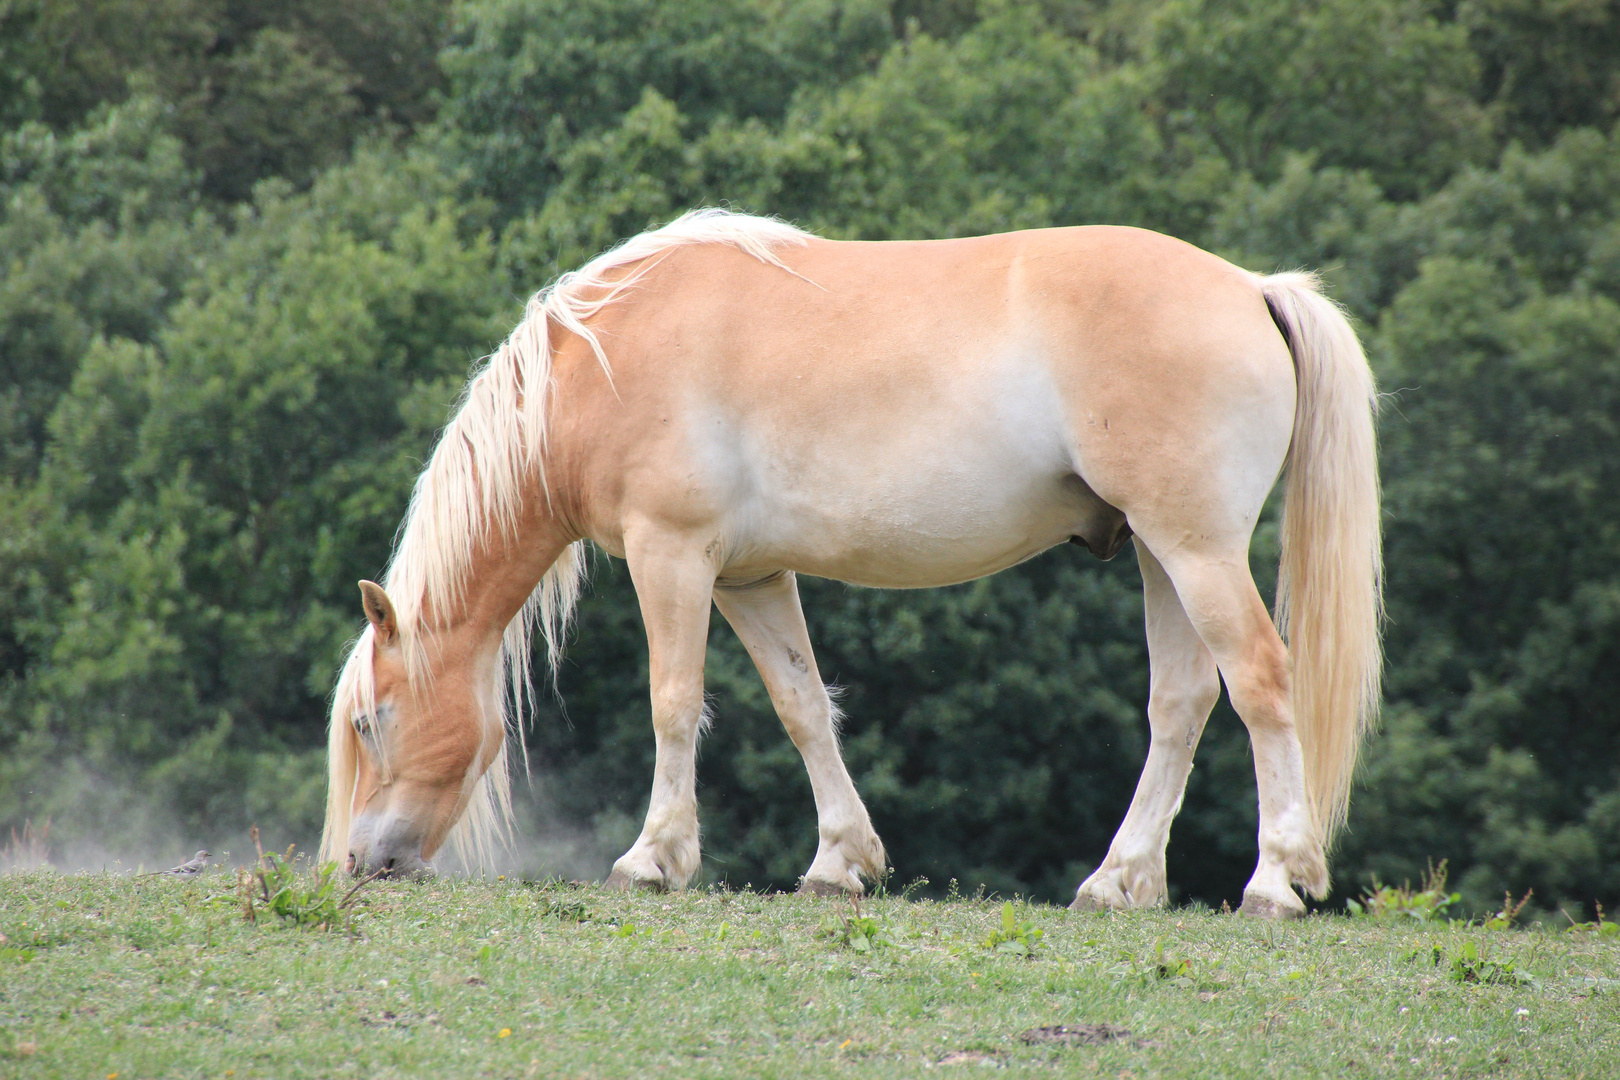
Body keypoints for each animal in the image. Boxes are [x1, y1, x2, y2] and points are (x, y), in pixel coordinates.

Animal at [315, 207, 1380, 919]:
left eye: (371, 722)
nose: (360, 865)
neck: (602, 361)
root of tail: (1252, 288)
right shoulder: (749, 576)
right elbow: (801, 706)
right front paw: (839, 861)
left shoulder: (673, 555)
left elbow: (673, 702)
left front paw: (653, 859)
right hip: (1161, 554)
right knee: (1181, 703)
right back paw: (1119, 880)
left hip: (1196, 549)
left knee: (1260, 683)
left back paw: (1276, 879)